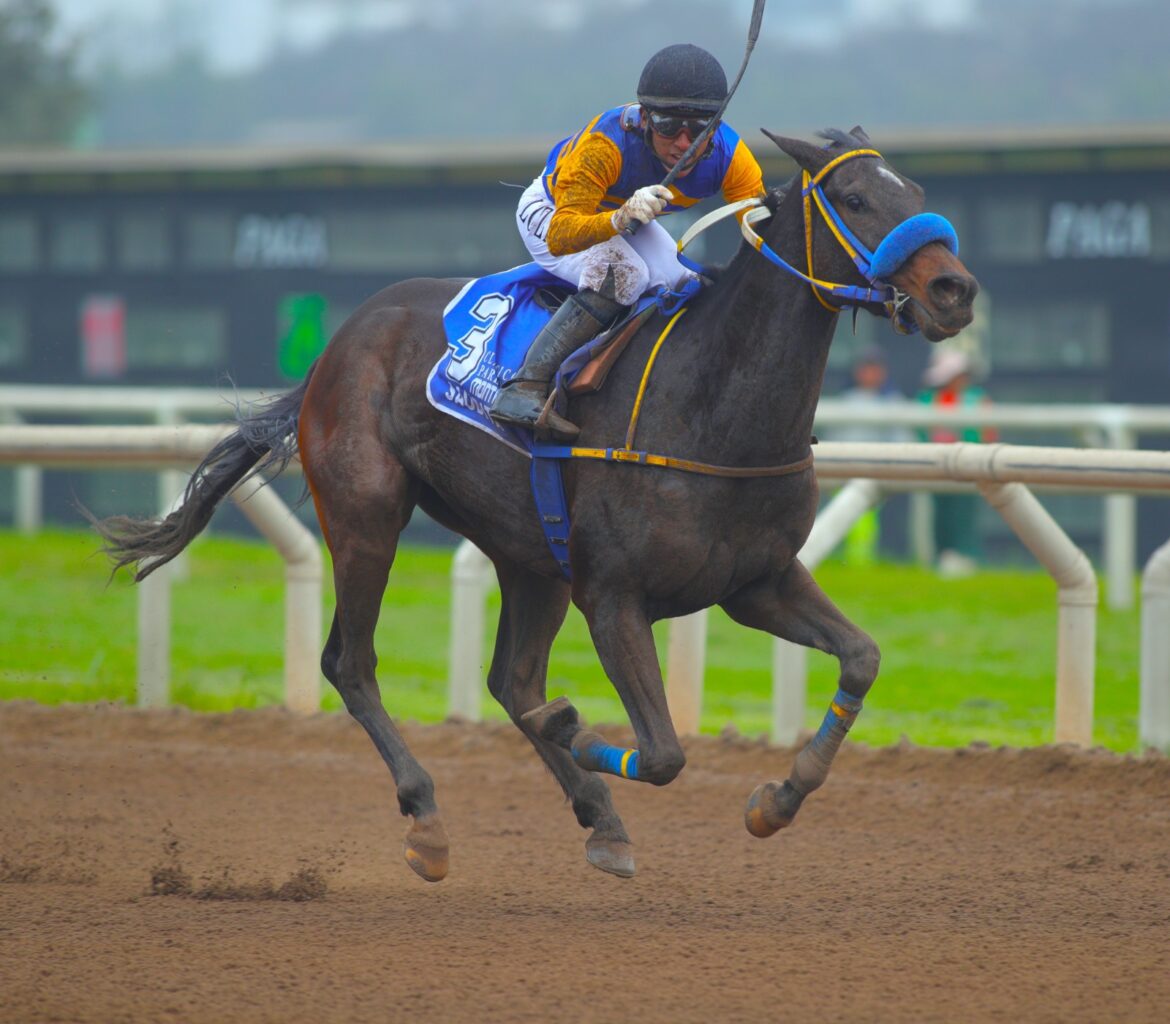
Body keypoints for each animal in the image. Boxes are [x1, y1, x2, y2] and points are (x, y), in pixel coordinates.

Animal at [93, 126, 978, 880]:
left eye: (916, 189)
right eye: (856, 200)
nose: (955, 289)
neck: (714, 403)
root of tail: (340, 342)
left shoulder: (756, 582)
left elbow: (862, 658)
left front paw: (777, 799)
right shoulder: (614, 596)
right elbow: (663, 752)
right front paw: (578, 728)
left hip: (530, 556)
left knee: (512, 681)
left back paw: (600, 817)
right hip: (367, 516)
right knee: (352, 662)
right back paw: (429, 817)